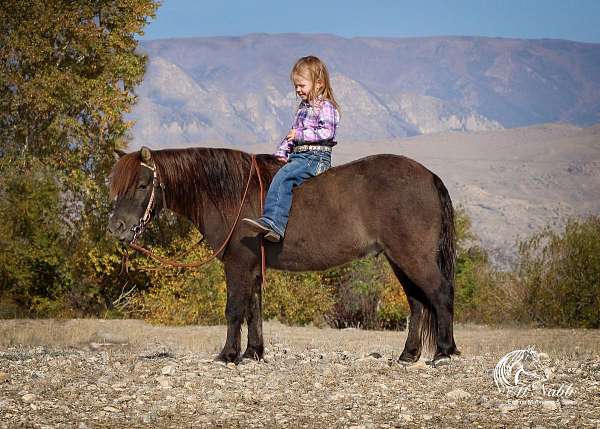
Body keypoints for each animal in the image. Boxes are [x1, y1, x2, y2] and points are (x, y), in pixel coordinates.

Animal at [106, 146, 460, 364]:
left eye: (142, 184)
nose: (116, 227)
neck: (230, 193)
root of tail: (429, 176)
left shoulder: (237, 264)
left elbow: (234, 310)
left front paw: (227, 355)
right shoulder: (252, 267)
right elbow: (253, 310)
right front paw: (253, 353)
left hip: (413, 257)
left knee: (440, 293)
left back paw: (444, 352)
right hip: (399, 259)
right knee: (417, 302)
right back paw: (409, 355)